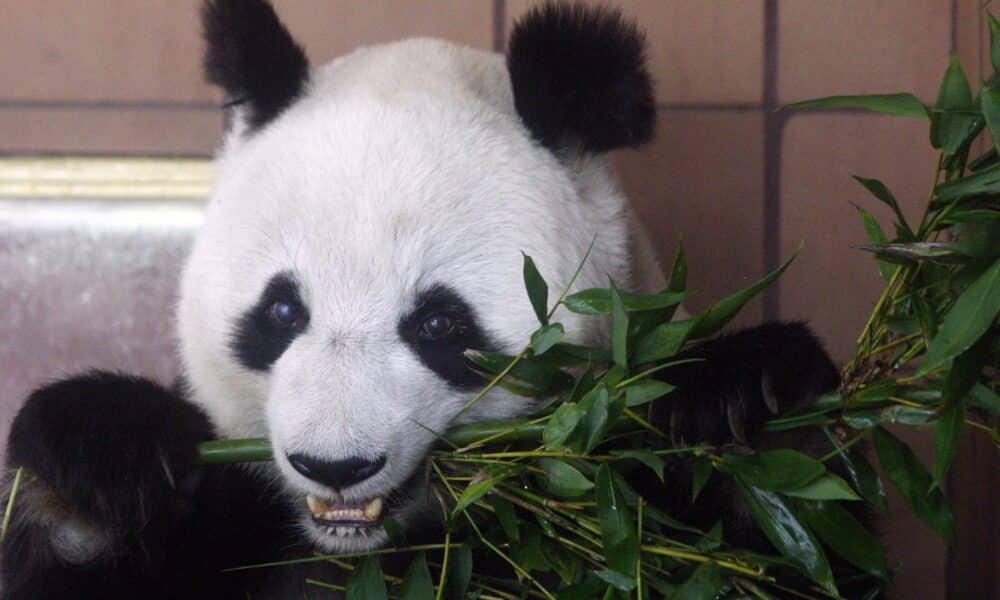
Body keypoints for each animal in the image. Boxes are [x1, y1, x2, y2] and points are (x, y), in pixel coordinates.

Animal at [0, 2, 844, 596]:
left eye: (439, 322)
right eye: (282, 312)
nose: (334, 465)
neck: (376, 548)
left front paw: (741, 402)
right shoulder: (236, 517)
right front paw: (102, 455)